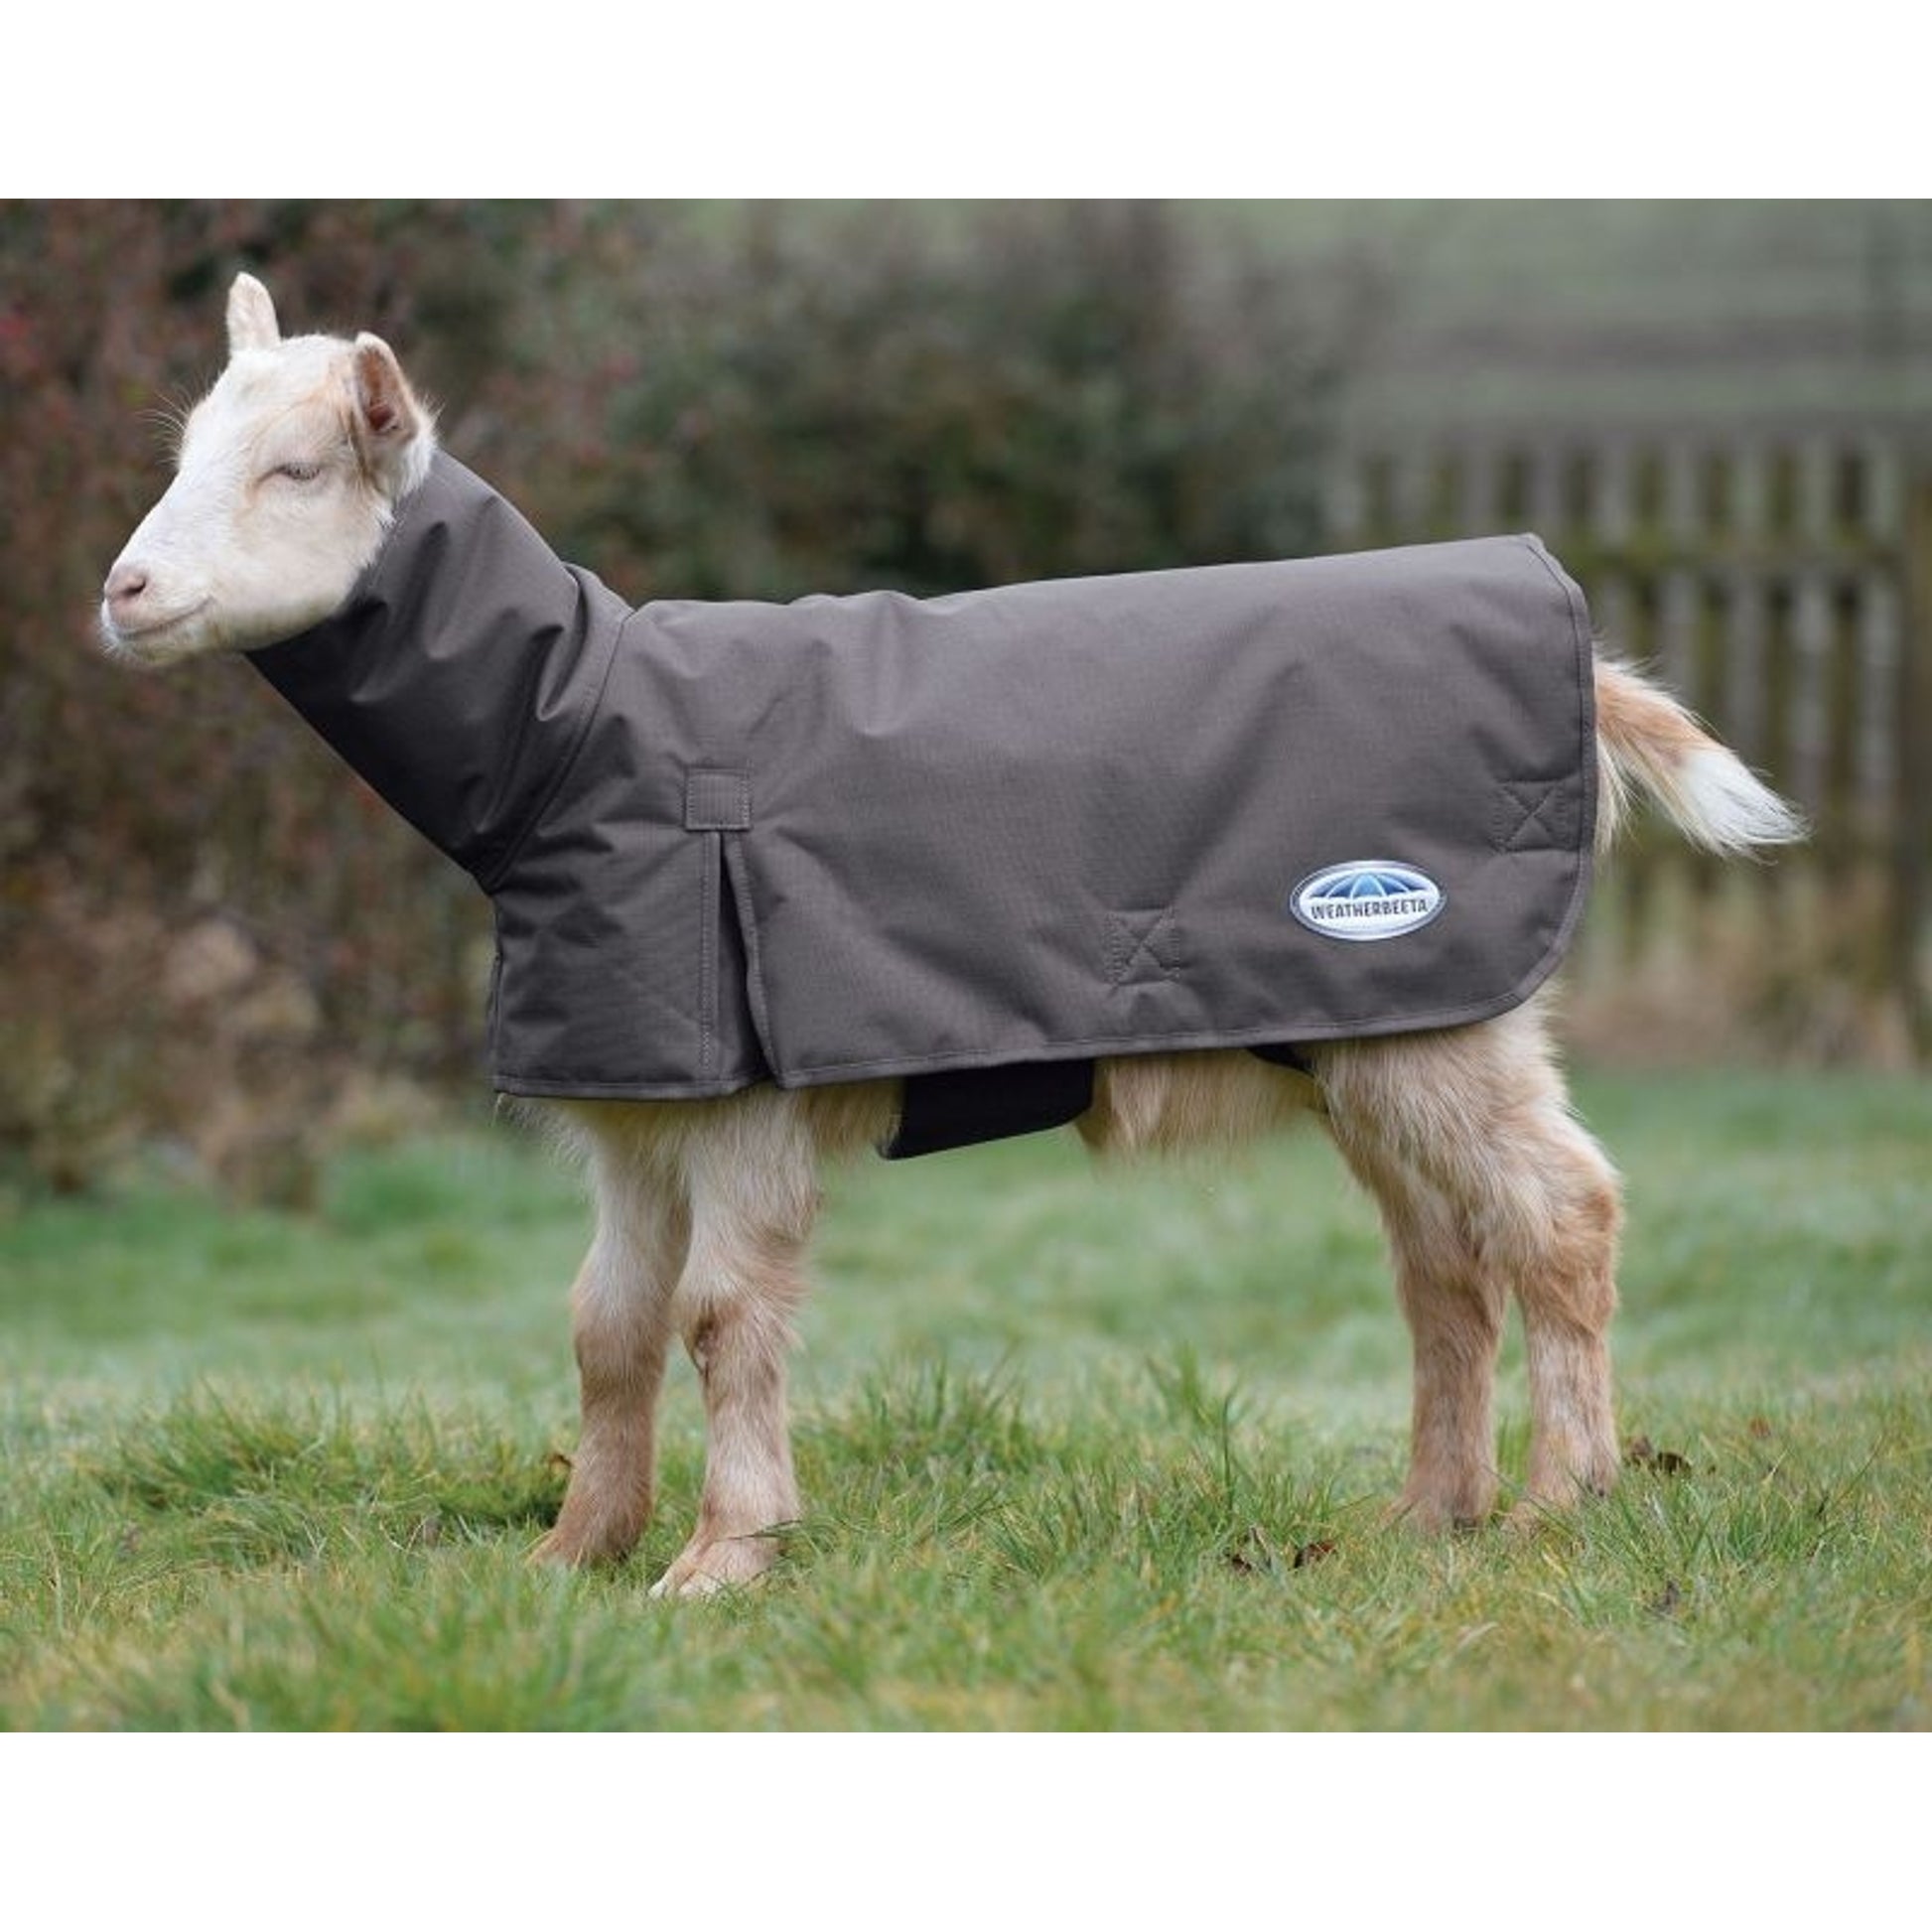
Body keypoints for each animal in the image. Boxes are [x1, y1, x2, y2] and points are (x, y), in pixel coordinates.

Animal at [101, 273, 1805, 1596]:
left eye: (297, 469)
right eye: (184, 454)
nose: (121, 590)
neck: (574, 735)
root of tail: (1572, 650)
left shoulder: (745, 1097)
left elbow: (717, 1317)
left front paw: (718, 1561)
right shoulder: (633, 1099)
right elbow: (605, 1326)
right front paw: (572, 1554)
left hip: (1443, 1004)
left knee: (1560, 1216)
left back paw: (1555, 1503)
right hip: (1371, 1027)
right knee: (1441, 1262)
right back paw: (1423, 1517)